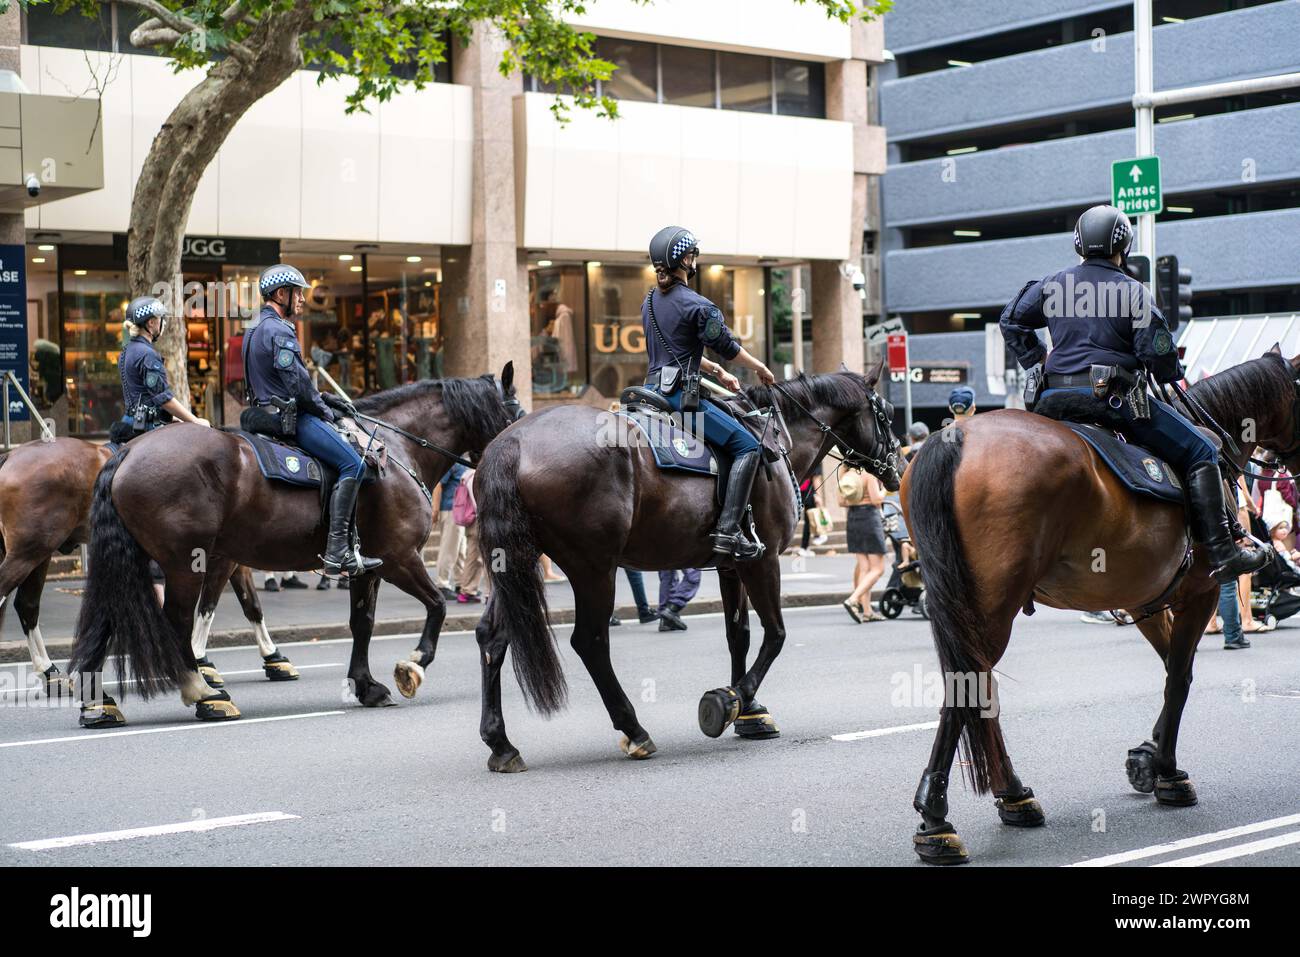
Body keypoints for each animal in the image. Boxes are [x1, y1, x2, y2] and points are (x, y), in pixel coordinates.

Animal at [0, 436, 289, 712]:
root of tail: (11, 456)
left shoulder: (231, 559)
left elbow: (251, 605)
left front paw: (272, 657)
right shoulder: (221, 559)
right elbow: (209, 607)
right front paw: (200, 661)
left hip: (40, 554)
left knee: (26, 606)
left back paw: (49, 673)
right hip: (31, 551)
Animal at [69, 364, 517, 722]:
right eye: (515, 411)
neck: (397, 453)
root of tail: (127, 454)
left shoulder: (366, 567)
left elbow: (362, 623)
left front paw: (365, 685)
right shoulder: (400, 559)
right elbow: (438, 605)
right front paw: (414, 665)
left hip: (137, 561)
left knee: (109, 619)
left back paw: (99, 704)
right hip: (184, 565)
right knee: (176, 621)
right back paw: (203, 694)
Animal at [467, 361, 904, 774]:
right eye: (886, 413)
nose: (900, 465)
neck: (775, 437)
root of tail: (513, 442)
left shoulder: (732, 567)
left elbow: (739, 635)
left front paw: (750, 711)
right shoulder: (763, 562)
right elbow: (776, 634)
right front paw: (728, 700)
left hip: (517, 562)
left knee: (493, 637)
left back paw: (501, 743)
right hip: (593, 568)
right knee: (589, 641)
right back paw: (634, 729)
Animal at [899, 348, 1300, 863]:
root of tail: (955, 435)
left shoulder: (1144, 600)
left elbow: (1170, 669)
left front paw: (1148, 756)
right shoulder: (1201, 593)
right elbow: (1180, 678)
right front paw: (1168, 771)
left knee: (979, 691)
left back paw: (1013, 796)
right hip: (989, 607)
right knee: (967, 689)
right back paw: (937, 820)